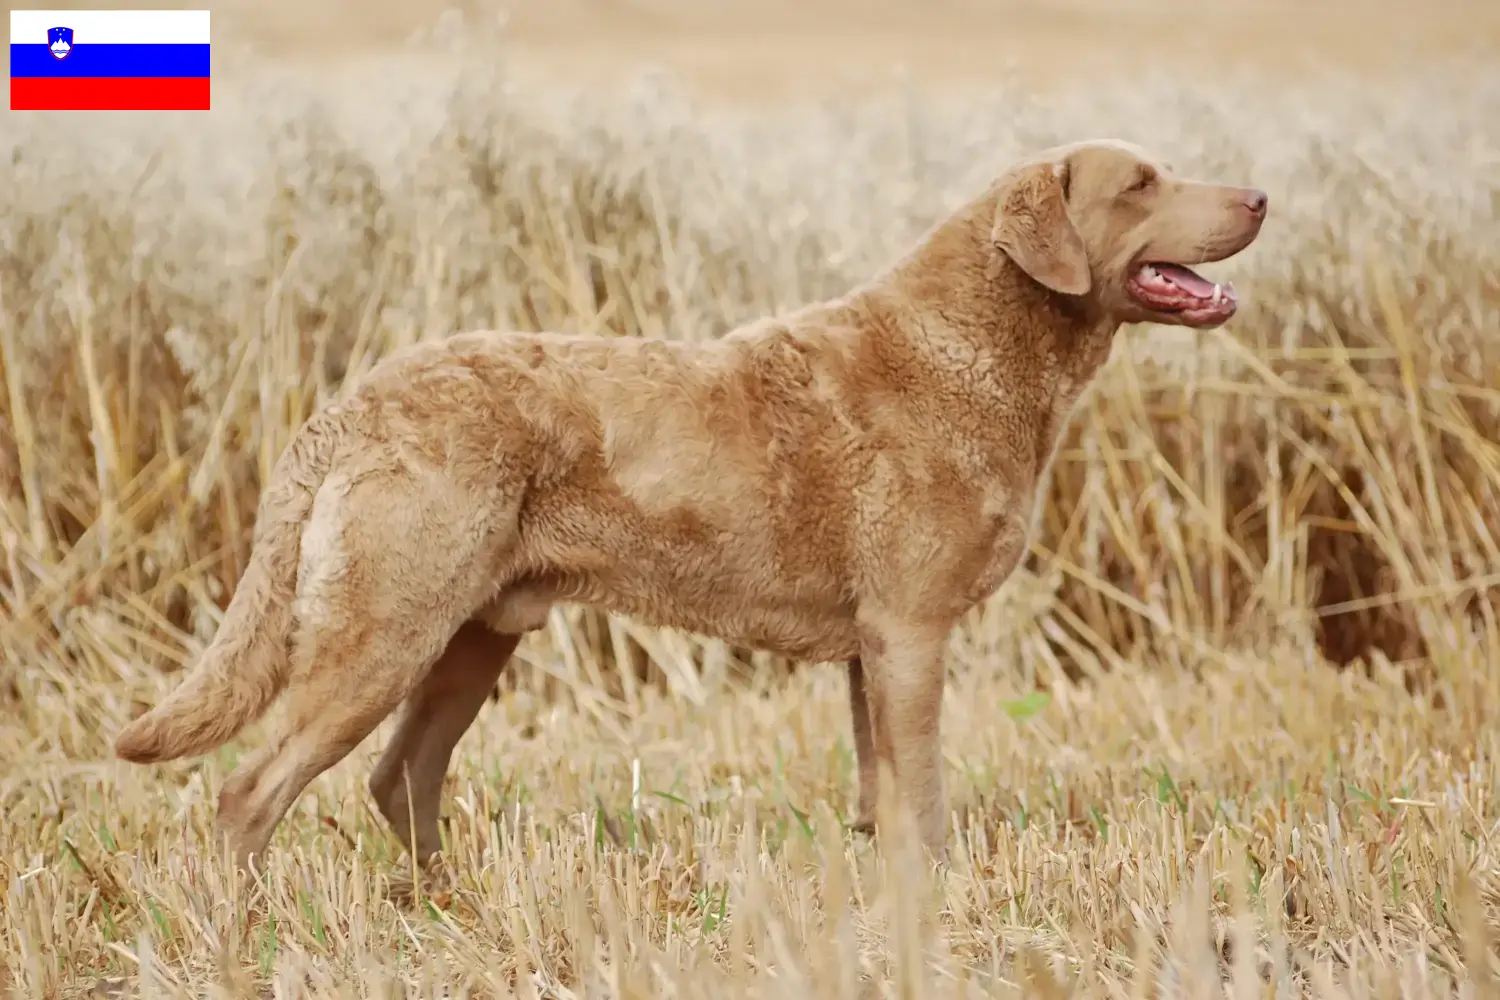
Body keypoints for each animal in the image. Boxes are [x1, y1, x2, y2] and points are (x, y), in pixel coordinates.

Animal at [114, 138, 1266, 869]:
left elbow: (880, 788)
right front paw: (941, 892)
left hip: (470, 635)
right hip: (382, 631)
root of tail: (348, 406)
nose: (1259, 198)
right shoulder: (910, 629)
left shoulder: (872, 647)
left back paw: (447, 907)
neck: (978, 350)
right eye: (1142, 182)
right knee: (250, 791)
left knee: (400, 779)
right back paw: (242, 929)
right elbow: (926, 790)